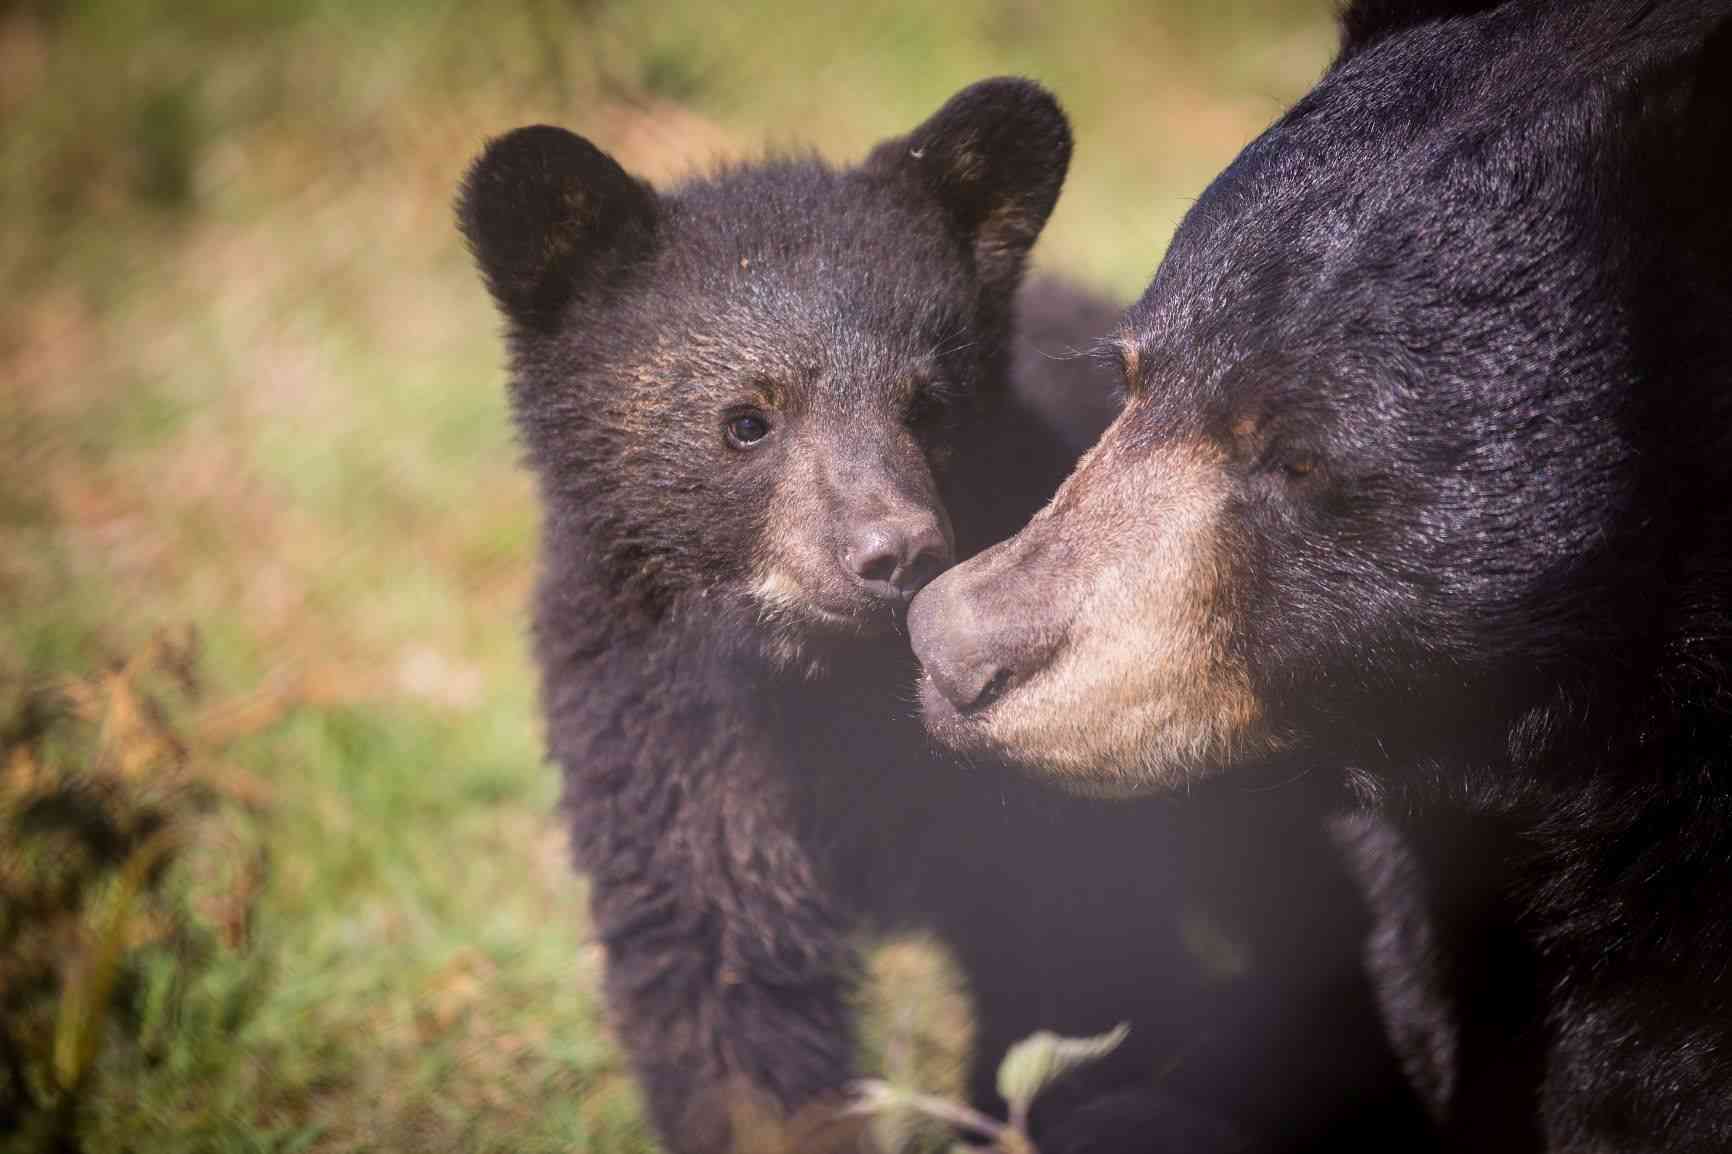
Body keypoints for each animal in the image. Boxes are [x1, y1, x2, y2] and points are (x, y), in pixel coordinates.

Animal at [457, 79, 1422, 1154]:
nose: (896, 554)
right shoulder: (669, 751)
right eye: (746, 419)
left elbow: (1076, 982)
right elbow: (726, 993)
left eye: (927, 402)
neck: (829, 701)